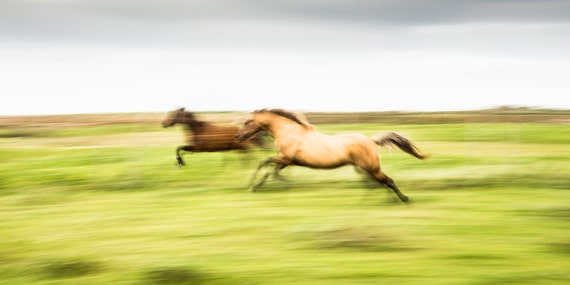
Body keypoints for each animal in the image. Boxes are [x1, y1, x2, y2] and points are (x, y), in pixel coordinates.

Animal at [232, 107, 426, 203]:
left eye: (248, 122)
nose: (238, 137)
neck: (289, 132)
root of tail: (372, 140)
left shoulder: (286, 158)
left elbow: (265, 164)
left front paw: (254, 185)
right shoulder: (287, 161)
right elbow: (270, 168)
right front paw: (265, 183)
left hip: (371, 167)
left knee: (388, 181)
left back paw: (403, 199)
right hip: (365, 168)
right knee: (380, 183)